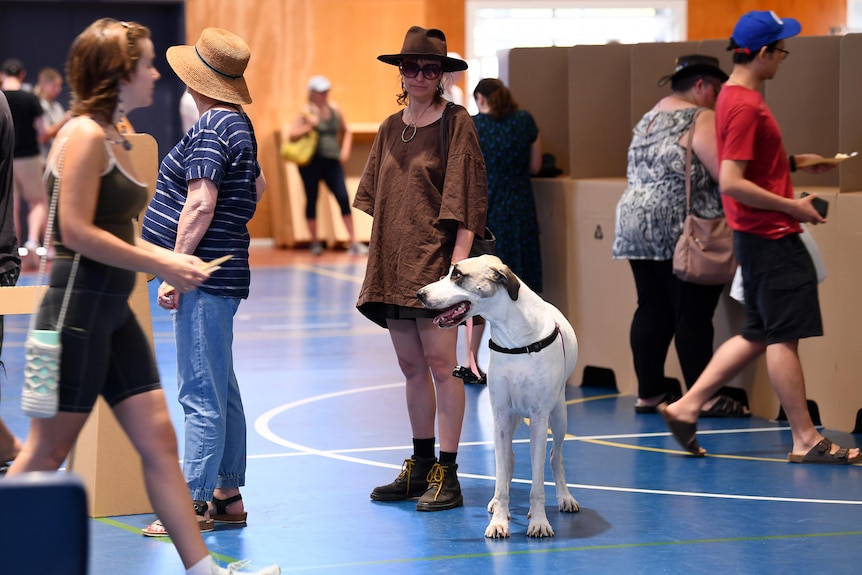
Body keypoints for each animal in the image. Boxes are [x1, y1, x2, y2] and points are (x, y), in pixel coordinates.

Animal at [418, 254, 580, 536]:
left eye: (457, 275)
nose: (419, 294)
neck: (515, 338)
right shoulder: (501, 415)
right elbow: (502, 474)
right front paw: (499, 521)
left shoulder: (539, 418)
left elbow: (537, 481)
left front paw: (539, 521)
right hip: (508, 420)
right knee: (508, 462)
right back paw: (496, 502)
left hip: (559, 416)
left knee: (555, 457)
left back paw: (565, 497)